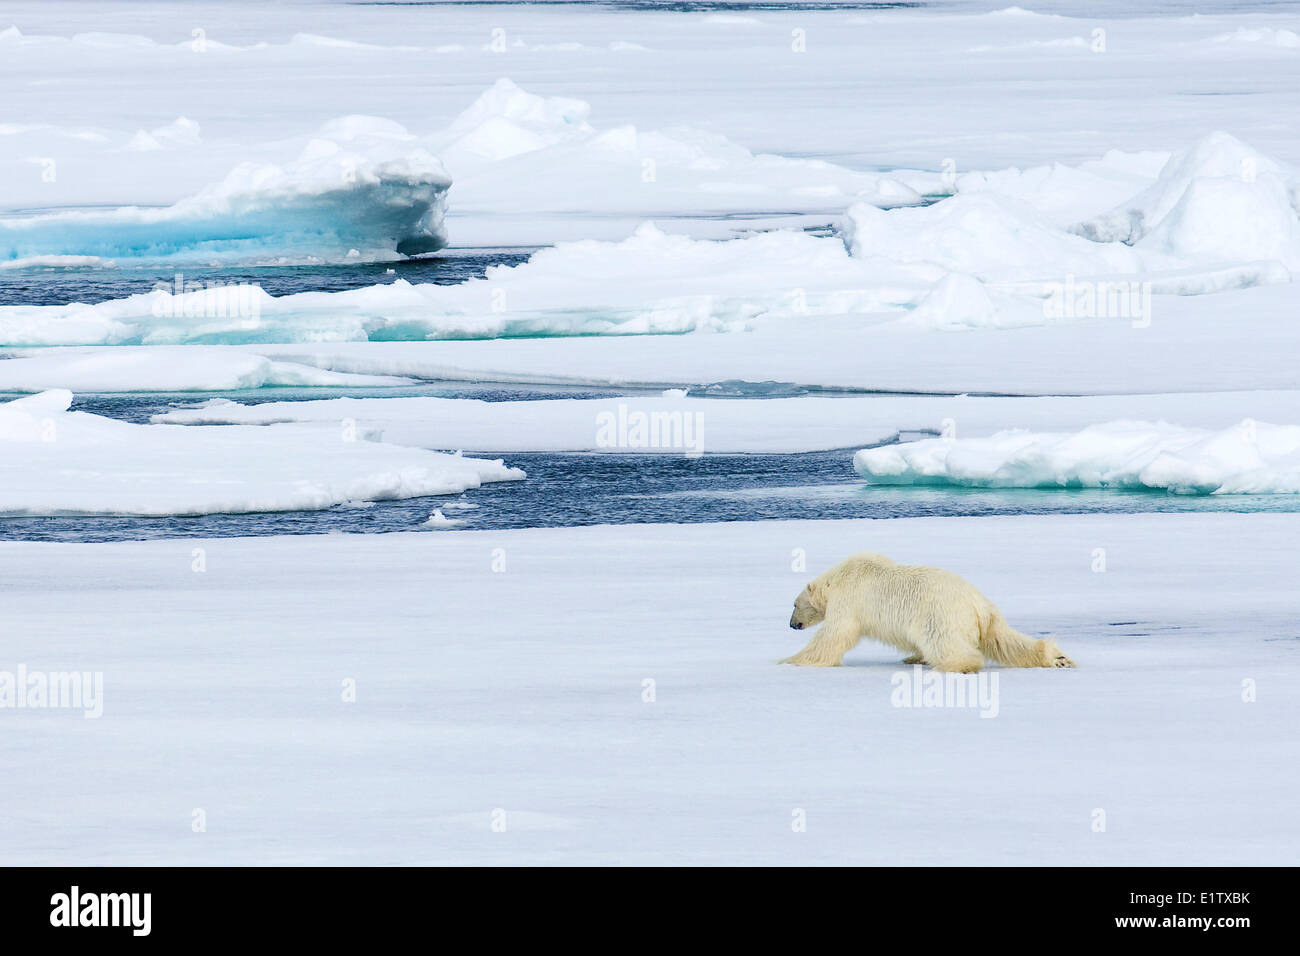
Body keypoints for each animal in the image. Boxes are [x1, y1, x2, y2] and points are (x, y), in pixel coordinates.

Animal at [780, 554, 1076, 671]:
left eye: (794, 605)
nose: (792, 624)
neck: (836, 579)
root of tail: (978, 604)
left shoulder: (850, 599)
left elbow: (834, 634)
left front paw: (790, 659)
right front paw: (913, 656)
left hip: (941, 613)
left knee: (944, 642)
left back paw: (957, 665)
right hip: (989, 618)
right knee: (1005, 640)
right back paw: (1058, 658)